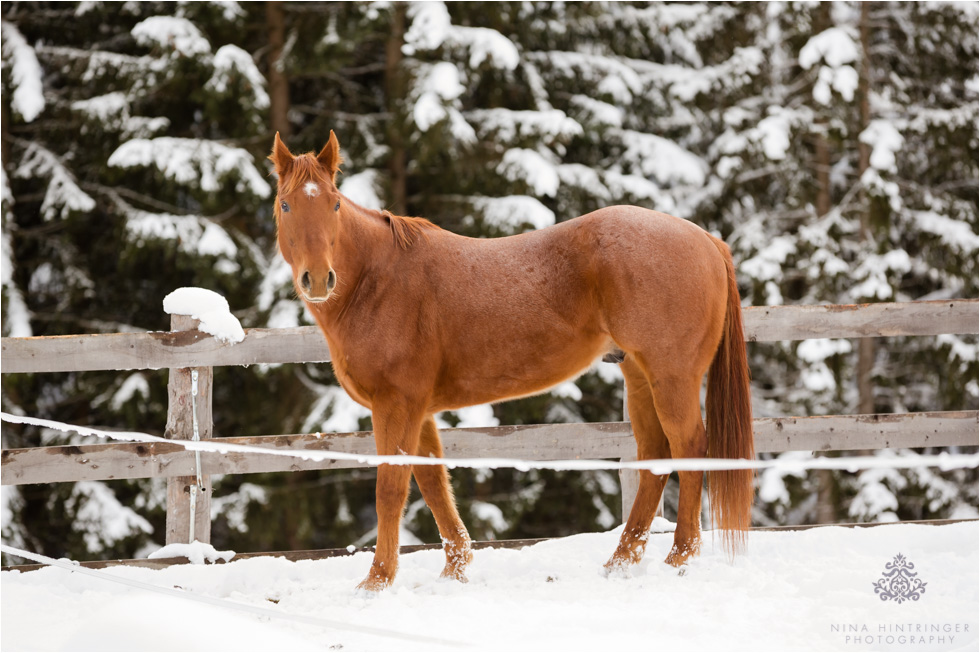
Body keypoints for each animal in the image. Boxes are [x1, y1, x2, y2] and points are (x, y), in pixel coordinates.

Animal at [272, 132, 756, 592]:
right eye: (286, 204)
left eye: (334, 203)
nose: (319, 279)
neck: (378, 281)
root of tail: (704, 239)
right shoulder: (417, 409)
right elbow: (433, 484)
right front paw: (455, 569)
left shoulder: (397, 405)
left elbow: (391, 489)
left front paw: (377, 581)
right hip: (639, 374)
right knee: (654, 455)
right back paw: (620, 562)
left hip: (672, 375)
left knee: (689, 447)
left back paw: (680, 556)